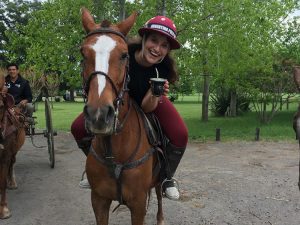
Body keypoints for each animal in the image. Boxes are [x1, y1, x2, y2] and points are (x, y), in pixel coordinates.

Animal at [81, 7, 165, 224]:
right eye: (82, 53)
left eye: (124, 55)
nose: (99, 114)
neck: (115, 151)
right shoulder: (98, 200)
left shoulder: (138, 205)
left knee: (159, 192)